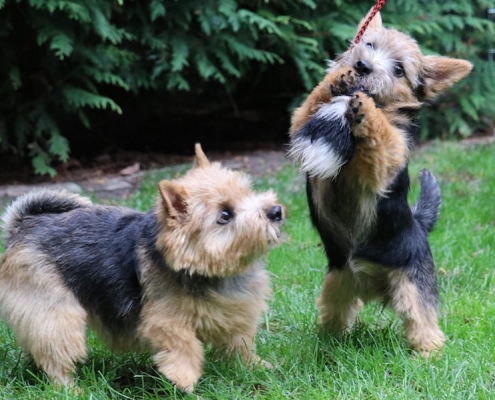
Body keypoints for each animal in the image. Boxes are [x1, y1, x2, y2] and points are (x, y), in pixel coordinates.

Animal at [0, 145, 284, 394]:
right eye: (225, 215)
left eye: (248, 192)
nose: (276, 210)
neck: (210, 271)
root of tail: (23, 226)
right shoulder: (166, 320)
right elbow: (184, 346)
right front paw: (184, 381)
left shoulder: (235, 310)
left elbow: (240, 340)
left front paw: (253, 366)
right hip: (57, 314)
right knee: (55, 355)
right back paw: (70, 388)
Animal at [288, 9, 474, 354]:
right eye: (370, 44)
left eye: (399, 69)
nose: (363, 66)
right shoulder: (300, 124)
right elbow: (308, 106)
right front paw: (336, 79)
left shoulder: (382, 162)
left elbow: (382, 137)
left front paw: (368, 110)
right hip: (336, 285)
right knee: (337, 313)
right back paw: (329, 340)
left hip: (412, 286)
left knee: (424, 320)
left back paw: (428, 352)